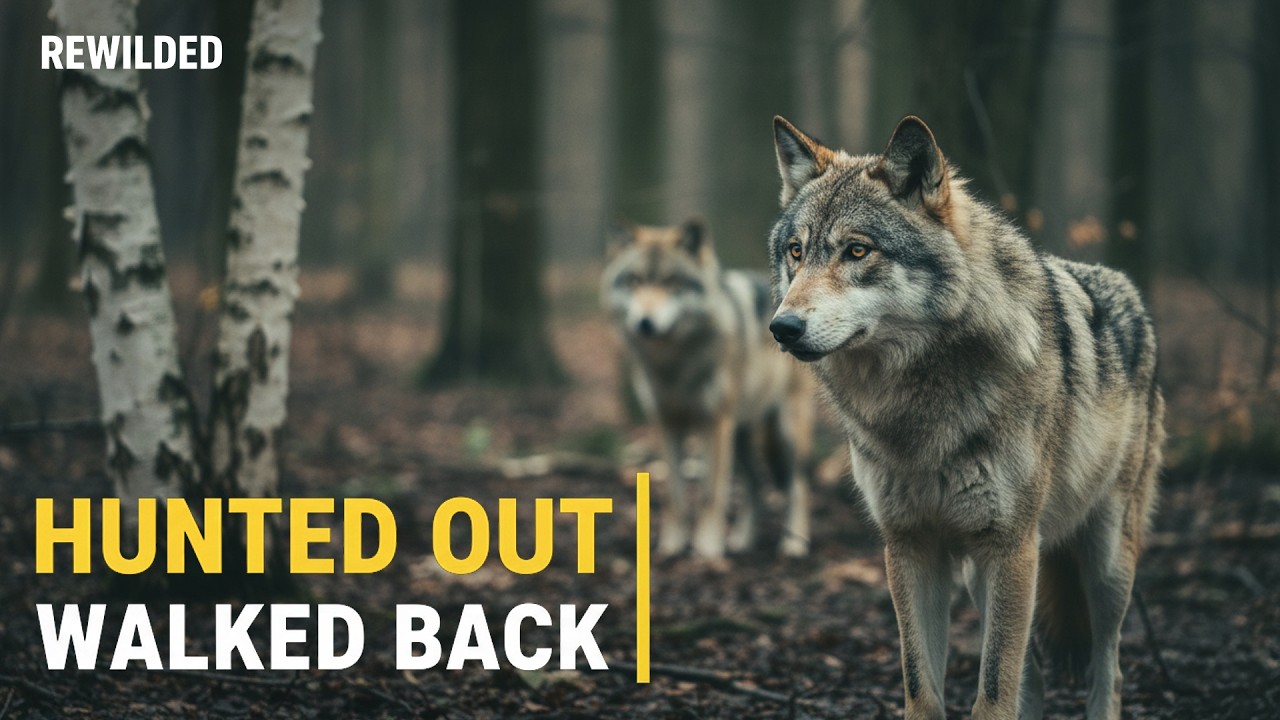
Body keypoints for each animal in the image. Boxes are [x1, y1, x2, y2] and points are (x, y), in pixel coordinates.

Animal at [602, 219, 815, 560]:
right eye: (634, 280)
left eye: (672, 281)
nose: (645, 323)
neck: (674, 364)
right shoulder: (667, 424)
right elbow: (674, 495)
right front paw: (671, 546)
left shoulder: (713, 424)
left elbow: (709, 494)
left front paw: (706, 549)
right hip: (739, 437)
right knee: (755, 484)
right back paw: (743, 541)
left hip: (785, 431)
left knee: (799, 485)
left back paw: (794, 544)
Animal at [766, 115, 1163, 720]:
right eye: (795, 251)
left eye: (857, 251)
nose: (782, 327)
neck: (918, 411)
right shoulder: (910, 545)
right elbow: (923, 686)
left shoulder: (1010, 544)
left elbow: (993, 692)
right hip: (984, 574)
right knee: (1033, 679)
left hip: (1104, 563)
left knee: (1108, 669)